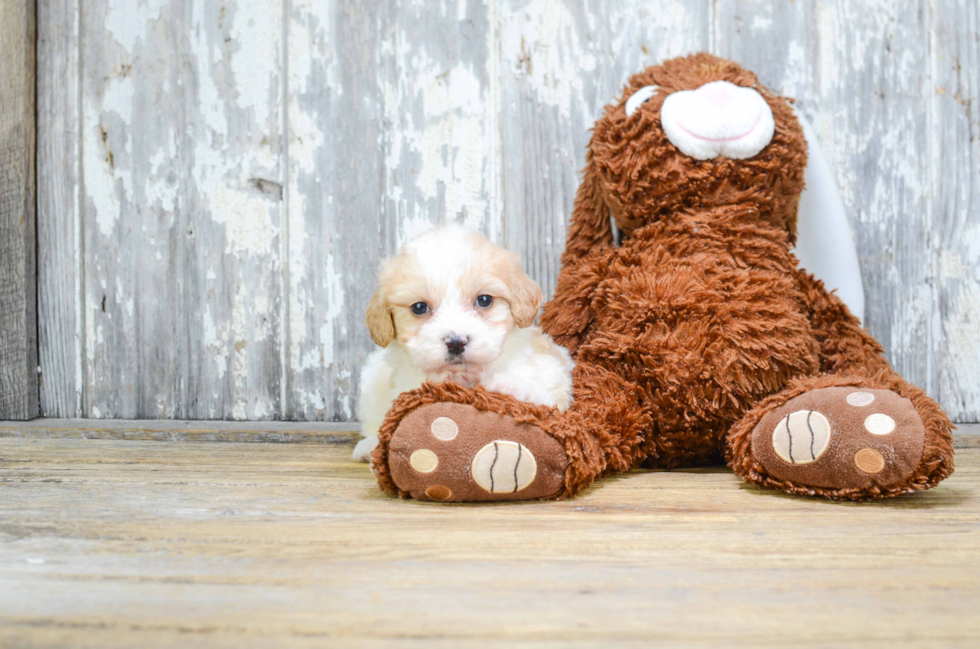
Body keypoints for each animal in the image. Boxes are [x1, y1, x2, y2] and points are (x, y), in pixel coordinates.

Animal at [354, 225, 576, 458]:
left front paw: (499, 385)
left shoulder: (551, 378)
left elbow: (538, 395)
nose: (456, 342)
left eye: (484, 300)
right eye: (419, 307)